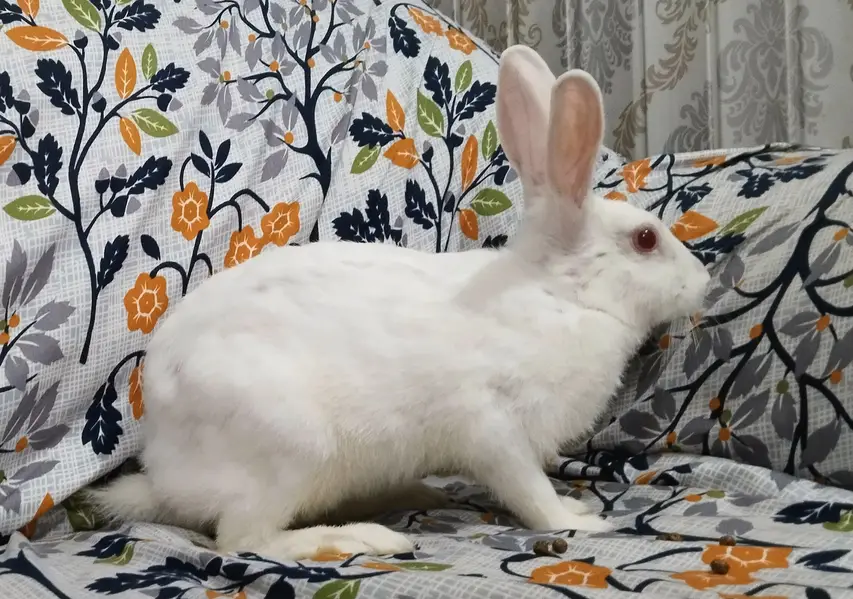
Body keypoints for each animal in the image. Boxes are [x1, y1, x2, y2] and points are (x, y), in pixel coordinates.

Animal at [89, 45, 710, 562]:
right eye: (646, 239)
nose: (703, 280)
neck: (560, 293)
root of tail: (164, 474)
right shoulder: (495, 430)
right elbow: (530, 492)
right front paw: (582, 521)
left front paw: (578, 506)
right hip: (290, 446)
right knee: (246, 538)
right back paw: (364, 538)